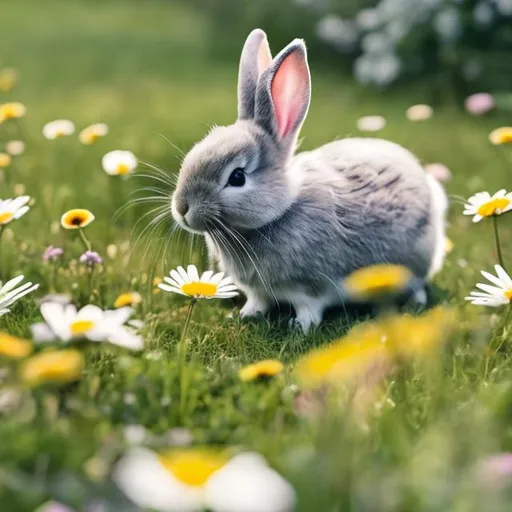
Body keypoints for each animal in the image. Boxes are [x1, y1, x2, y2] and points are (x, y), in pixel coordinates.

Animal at [170, 29, 446, 332]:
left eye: (237, 177)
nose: (182, 208)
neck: (277, 214)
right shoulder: (258, 291)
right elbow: (257, 301)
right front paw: (247, 315)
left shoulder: (312, 289)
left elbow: (309, 308)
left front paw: (299, 326)